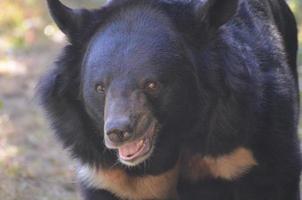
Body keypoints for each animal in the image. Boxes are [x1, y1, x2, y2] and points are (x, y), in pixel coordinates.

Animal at [39, 0, 300, 199]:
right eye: (100, 87)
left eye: (151, 84)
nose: (118, 132)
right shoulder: (107, 176)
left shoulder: (242, 144)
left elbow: (274, 178)